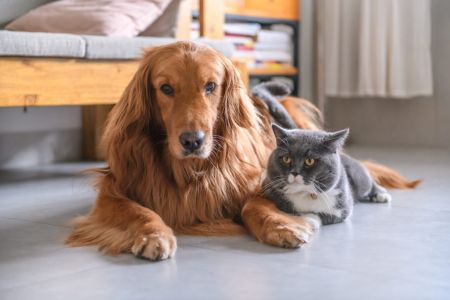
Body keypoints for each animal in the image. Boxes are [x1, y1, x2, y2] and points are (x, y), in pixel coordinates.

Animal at [67, 41, 418, 260]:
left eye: (210, 86)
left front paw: (283, 227)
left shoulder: (253, 182)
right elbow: (139, 211)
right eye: (165, 88)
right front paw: (154, 234)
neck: (189, 171)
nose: (192, 141)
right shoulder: (113, 192)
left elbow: (254, 206)